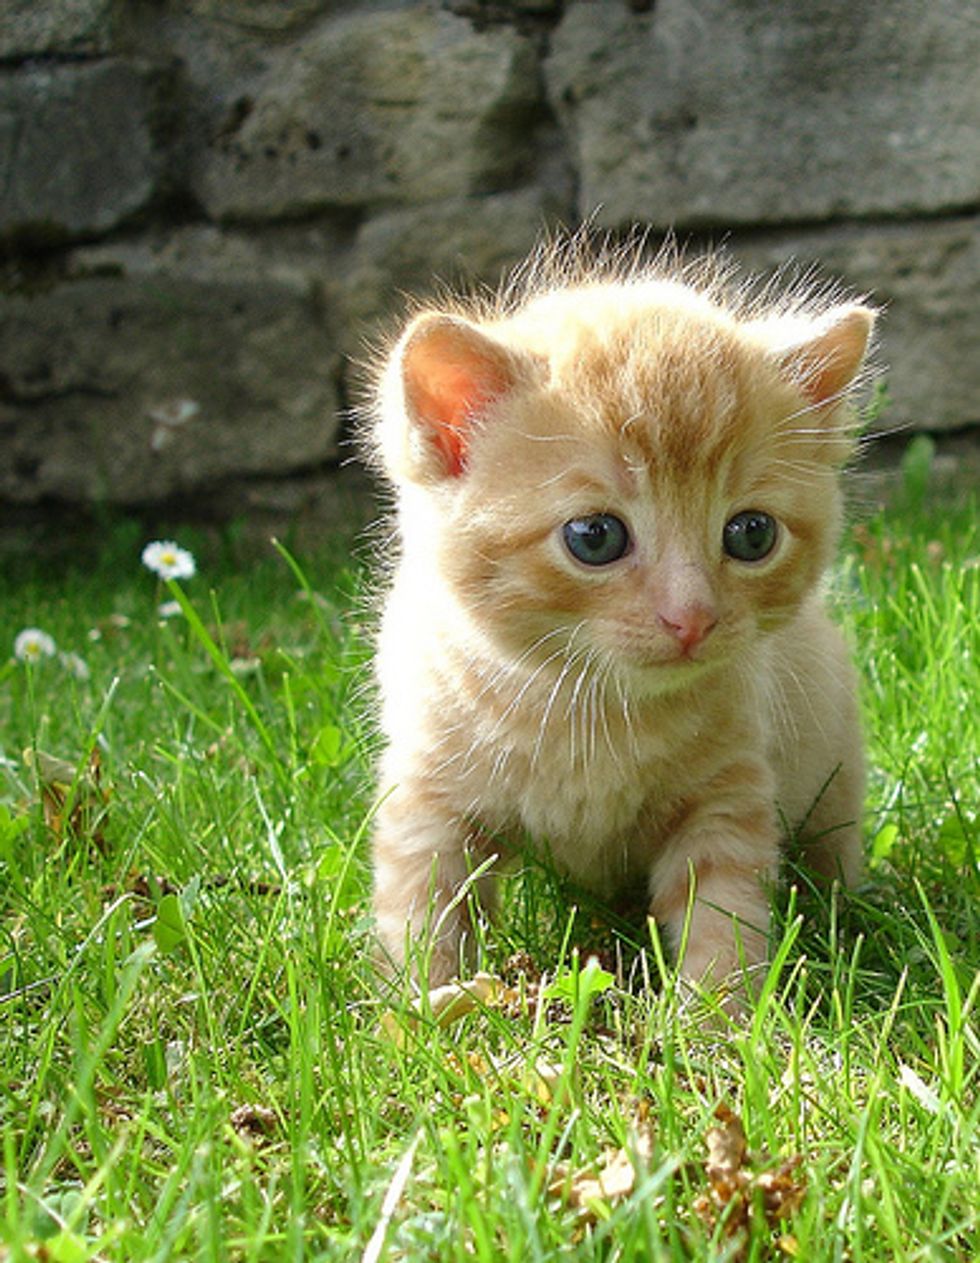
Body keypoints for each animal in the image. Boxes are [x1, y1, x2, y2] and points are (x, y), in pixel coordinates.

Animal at [363, 241, 878, 990]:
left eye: (751, 534)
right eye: (595, 537)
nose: (692, 617)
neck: (594, 709)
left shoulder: (726, 797)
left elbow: (721, 915)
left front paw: (716, 1013)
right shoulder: (431, 791)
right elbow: (425, 905)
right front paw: (425, 1004)